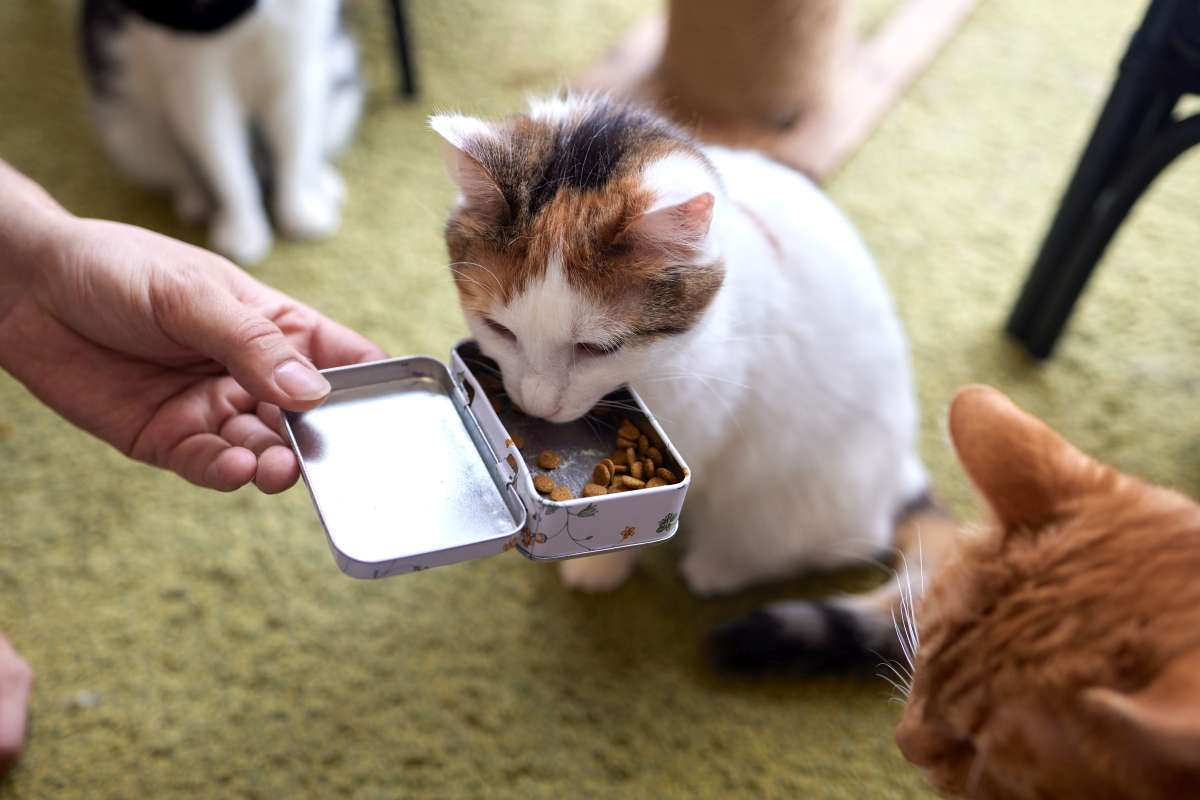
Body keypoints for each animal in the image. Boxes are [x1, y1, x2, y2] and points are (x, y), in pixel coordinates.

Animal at [81, 0, 360, 263]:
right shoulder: (198, 83)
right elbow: (228, 168)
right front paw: (243, 228)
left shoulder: (297, 63)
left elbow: (295, 149)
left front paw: (300, 211)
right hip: (129, 129)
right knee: (179, 170)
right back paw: (195, 199)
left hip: (342, 86)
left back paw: (322, 181)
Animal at [432, 94, 945, 666]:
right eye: (500, 329)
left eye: (598, 349)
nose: (537, 405)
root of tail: (900, 474)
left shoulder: (703, 420)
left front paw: (598, 566)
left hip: (791, 497)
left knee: (843, 543)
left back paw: (717, 569)